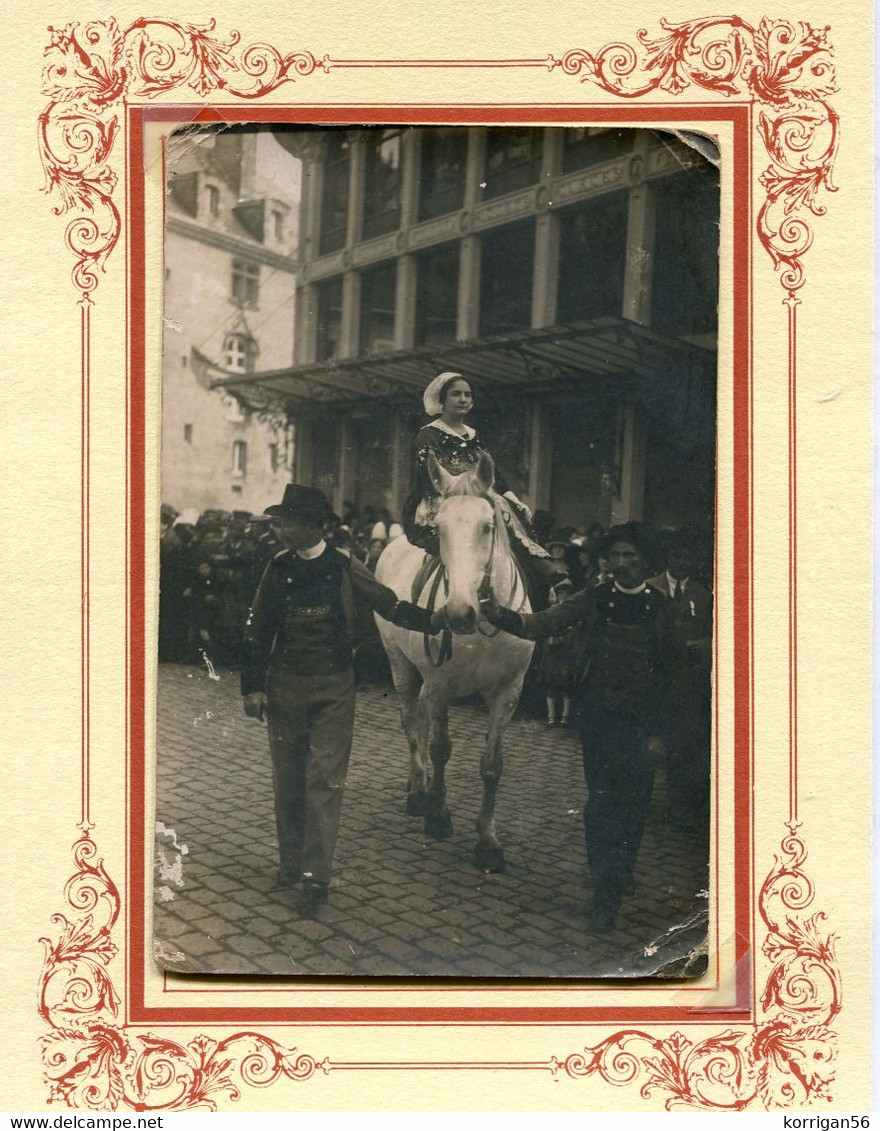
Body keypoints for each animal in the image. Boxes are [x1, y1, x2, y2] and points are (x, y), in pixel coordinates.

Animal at [373, 450, 531, 873]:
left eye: (488, 527)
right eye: (439, 530)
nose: (459, 613)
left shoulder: (508, 693)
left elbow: (492, 766)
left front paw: (488, 843)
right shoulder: (440, 686)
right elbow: (440, 748)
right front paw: (439, 815)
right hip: (401, 665)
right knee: (413, 724)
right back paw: (419, 792)